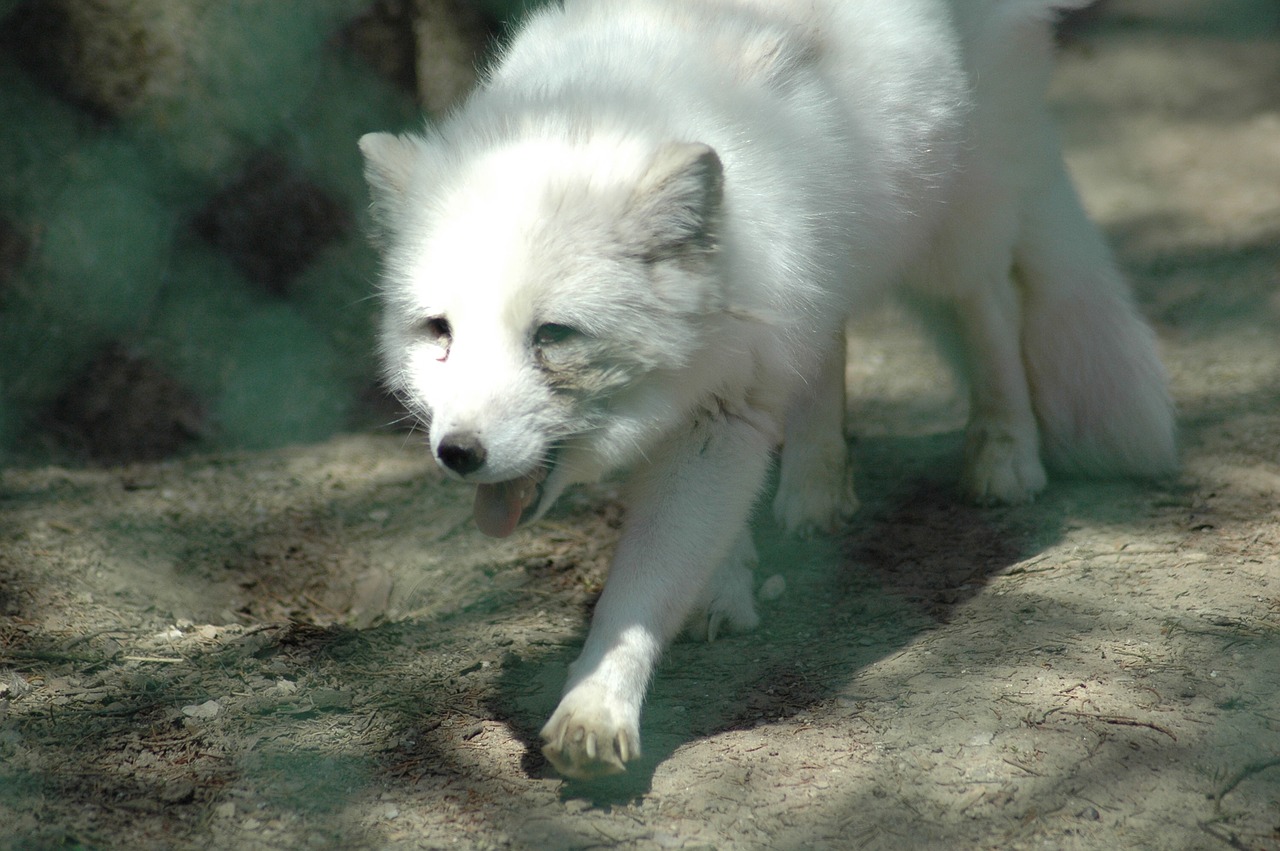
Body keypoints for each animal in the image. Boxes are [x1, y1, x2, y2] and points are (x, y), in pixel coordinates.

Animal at [355, 0, 1172, 778]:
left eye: (552, 335)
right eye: (439, 332)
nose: (458, 452)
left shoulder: (726, 406)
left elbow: (641, 588)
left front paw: (598, 704)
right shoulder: (724, 382)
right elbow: (698, 538)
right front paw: (723, 584)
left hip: (952, 226)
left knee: (993, 307)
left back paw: (1004, 453)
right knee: (832, 343)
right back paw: (817, 486)